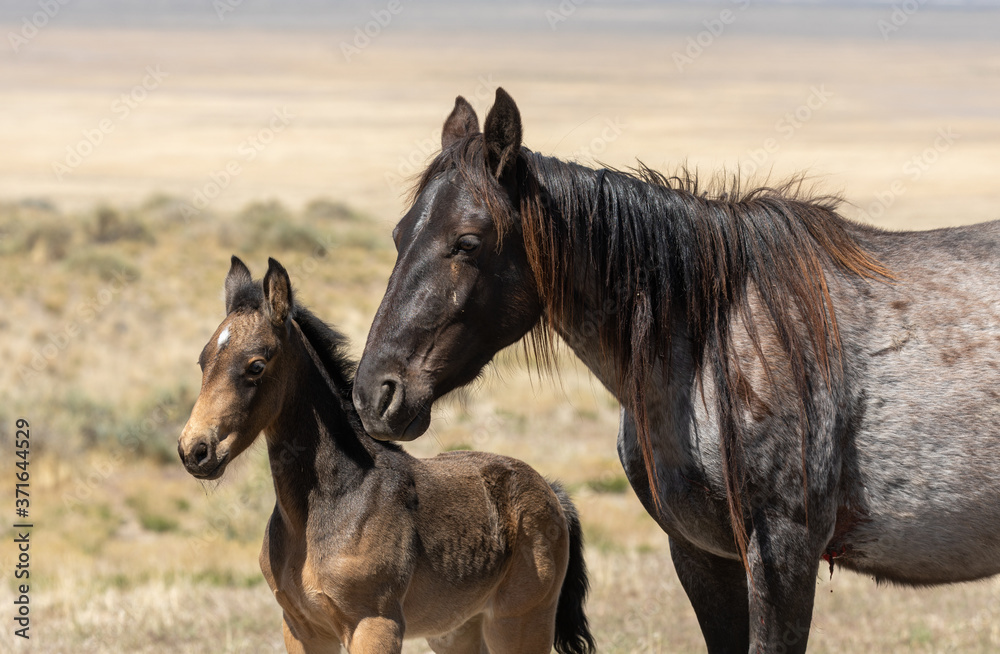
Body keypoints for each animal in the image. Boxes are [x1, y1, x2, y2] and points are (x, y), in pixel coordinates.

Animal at [178, 256, 592, 654]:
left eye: (256, 365)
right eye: (203, 361)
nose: (195, 450)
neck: (333, 501)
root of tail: (551, 491)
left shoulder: (373, 624)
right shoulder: (301, 627)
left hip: (521, 621)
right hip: (457, 630)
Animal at [354, 88, 1000, 654]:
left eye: (467, 242)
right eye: (398, 234)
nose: (373, 395)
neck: (716, 338)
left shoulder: (784, 554)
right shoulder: (700, 555)